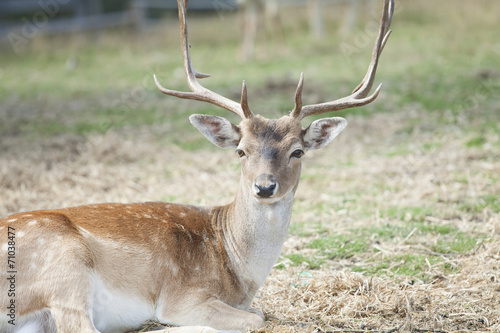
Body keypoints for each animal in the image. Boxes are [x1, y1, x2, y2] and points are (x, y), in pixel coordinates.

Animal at [0, 0, 392, 332]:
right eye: (241, 151)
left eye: (298, 152)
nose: (264, 186)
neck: (237, 270)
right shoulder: (183, 294)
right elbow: (256, 316)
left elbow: (258, 311)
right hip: (65, 264)